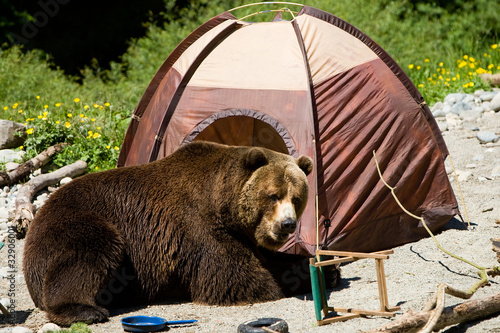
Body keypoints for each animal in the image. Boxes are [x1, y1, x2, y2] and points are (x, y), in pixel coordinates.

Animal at [21, 140, 338, 324]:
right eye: (273, 195)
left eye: (296, 198)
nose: (288, 224)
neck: (221, 201)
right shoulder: (195, 226)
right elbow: (235, 276)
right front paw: (289, 281)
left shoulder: (243, 233)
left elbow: (269, 259)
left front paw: (326, 268)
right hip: (77, 222)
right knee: (91, 250)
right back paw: (85, 310)